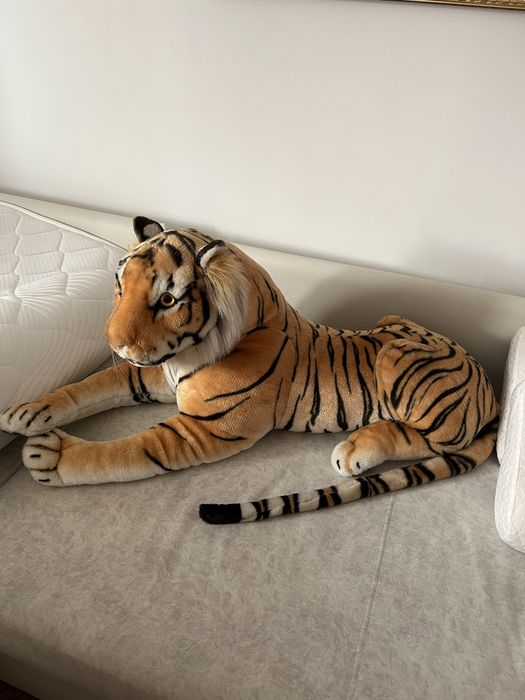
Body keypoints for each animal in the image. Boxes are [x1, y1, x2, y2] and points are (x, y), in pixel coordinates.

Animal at [0, 216, 499, 524]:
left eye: (167, 299)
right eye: (120, 285)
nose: (114, 344)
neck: (186, 355)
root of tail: (490, 388)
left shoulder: (203, 428)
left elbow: (128, 451)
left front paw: (52, 455)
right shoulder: (153, 373)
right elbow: (93, 383)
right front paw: (25, 412)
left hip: (398, 361)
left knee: (430, 438)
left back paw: (355, 450)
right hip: (390, 321)